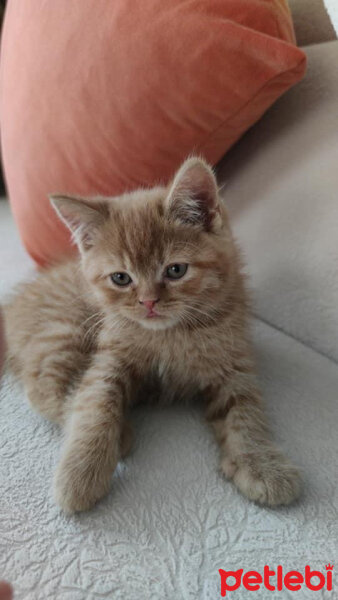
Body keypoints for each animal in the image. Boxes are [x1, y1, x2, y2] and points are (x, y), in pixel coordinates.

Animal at [2, 158, 300, 510]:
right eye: (120, 278)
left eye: (175, 270)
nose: (148, 302)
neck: (172, 335)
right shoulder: (110, 356)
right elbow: (94, 402)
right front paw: (81, 472)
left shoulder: (233, 364)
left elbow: (245, 411)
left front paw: (262, 466)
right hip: (64, 329)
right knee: (43, 389)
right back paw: (121, 435)